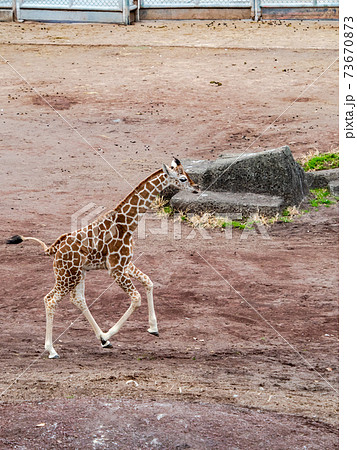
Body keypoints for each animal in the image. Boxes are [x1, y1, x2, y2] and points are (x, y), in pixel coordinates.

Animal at [6, 158, 197, 358]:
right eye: (183, 178)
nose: (197, 187)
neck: (127, 223)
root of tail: (55, 248)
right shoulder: (116, 269)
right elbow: (136, 298)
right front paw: (108, 334)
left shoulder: (125, 264)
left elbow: (149, 282)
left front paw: (153, 328)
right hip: (67, 276)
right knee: (50, 300)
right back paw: (52, 350)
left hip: (77, 274)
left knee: (76, 299)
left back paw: (100, 341)